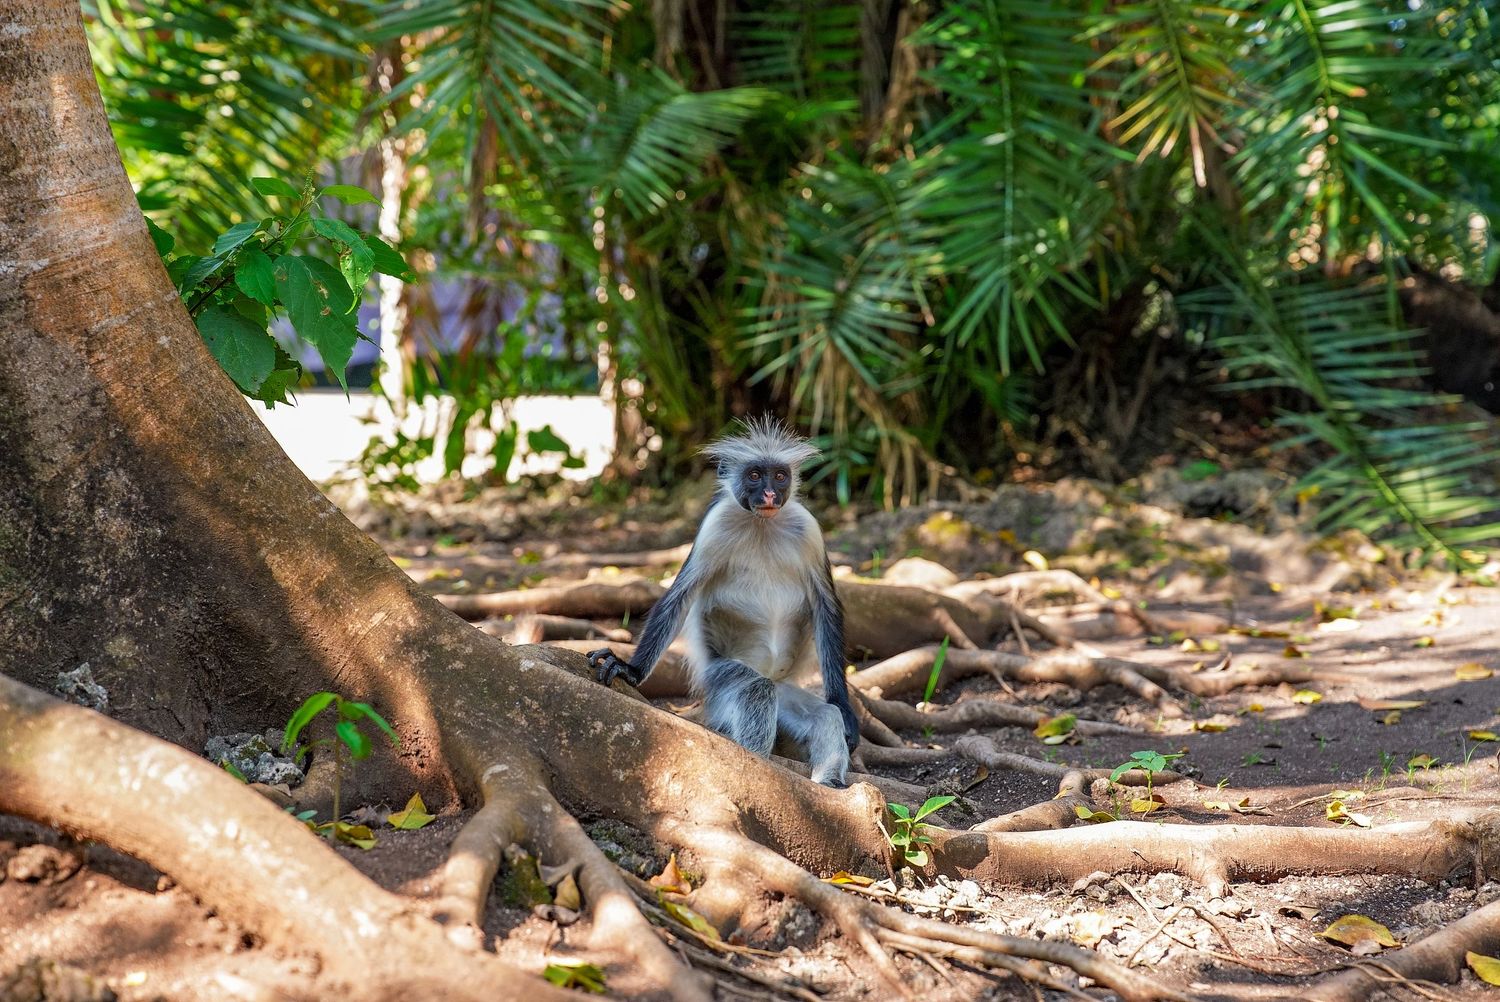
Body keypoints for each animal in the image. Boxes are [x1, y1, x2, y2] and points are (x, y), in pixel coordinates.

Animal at [588, 418, 859, 787]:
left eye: (780, 476)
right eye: (755, 476)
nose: (770, 495)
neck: (763, 525)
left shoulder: (809, 531)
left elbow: (826, 608)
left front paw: (845, 708)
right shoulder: (715, 526)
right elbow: (678, 598)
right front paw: (631, 670)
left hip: (785, 692)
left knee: (823, 714)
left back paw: (828, 782)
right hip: (719, 680)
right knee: (757, 688)